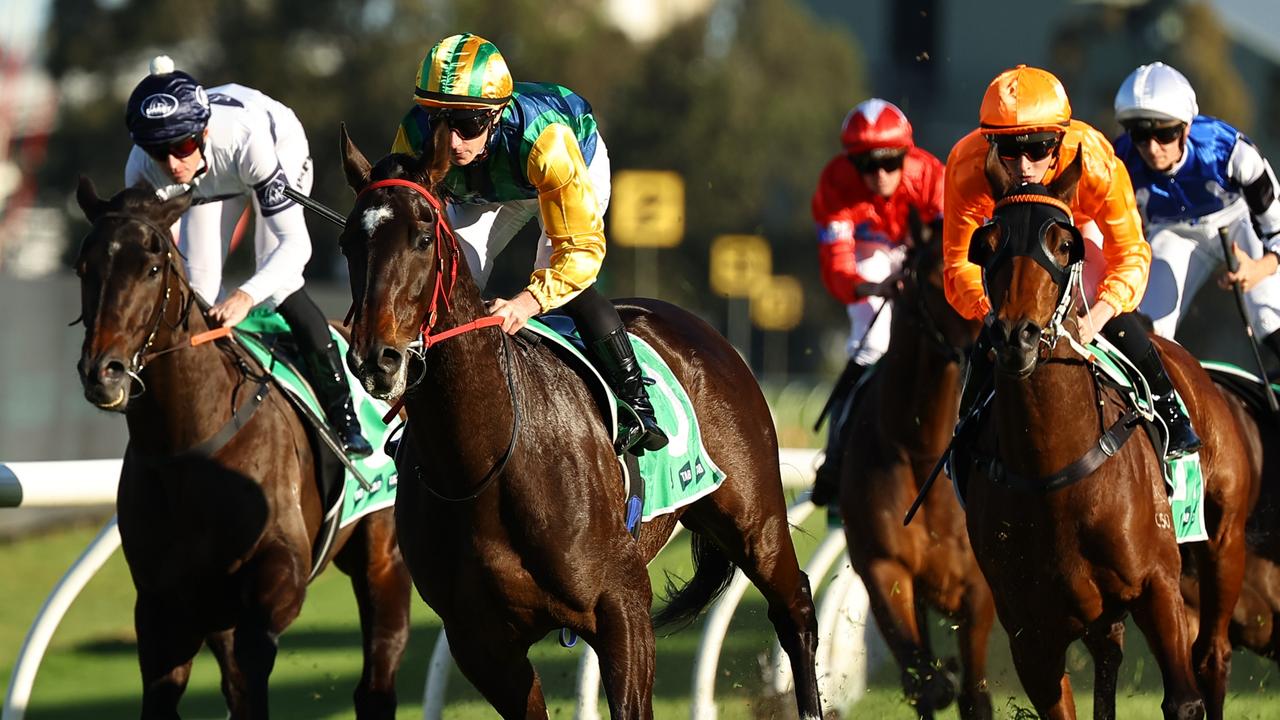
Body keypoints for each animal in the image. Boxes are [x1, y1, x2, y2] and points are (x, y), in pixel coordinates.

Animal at [72, 176, 412, 712]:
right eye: (84, 268)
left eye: (151, 268)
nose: (102, 372)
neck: (191, 447)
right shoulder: (164, 606)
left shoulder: (277, 579)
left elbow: (253, 670)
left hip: (383, 554)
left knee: (376, 678)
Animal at [335, 124, 824, 717]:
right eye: (348, 244)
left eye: (423, 238)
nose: (376, 358)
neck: (485, 462)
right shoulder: (482, 645)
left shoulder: (622, 609)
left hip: (757, 520)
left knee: (794, 607)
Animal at [834, 215, 993, 712]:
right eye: (934, 280)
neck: (920, 450)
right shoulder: (884, 567)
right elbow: (926, 683)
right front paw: (937, 676)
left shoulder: (978, 588)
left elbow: (974, 696)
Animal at [962, 147, 1254, 717]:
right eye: (986, 245)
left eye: (1063, 243)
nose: (1015, 336)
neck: (1052, 470)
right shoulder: (1031, 634)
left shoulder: (1157, 587)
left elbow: (1184, 699)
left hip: (1224, 542)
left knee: (1211, 655)